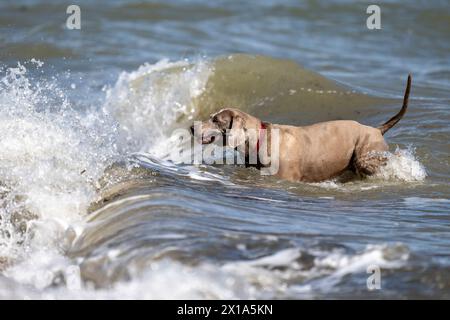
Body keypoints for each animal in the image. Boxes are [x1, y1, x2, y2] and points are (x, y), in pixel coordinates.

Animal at [190, 73, 412, 181]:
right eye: (210, 117)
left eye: (216, 120)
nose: (192, 128)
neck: (260, 139)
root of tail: (377, 129)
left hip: (364, 153)